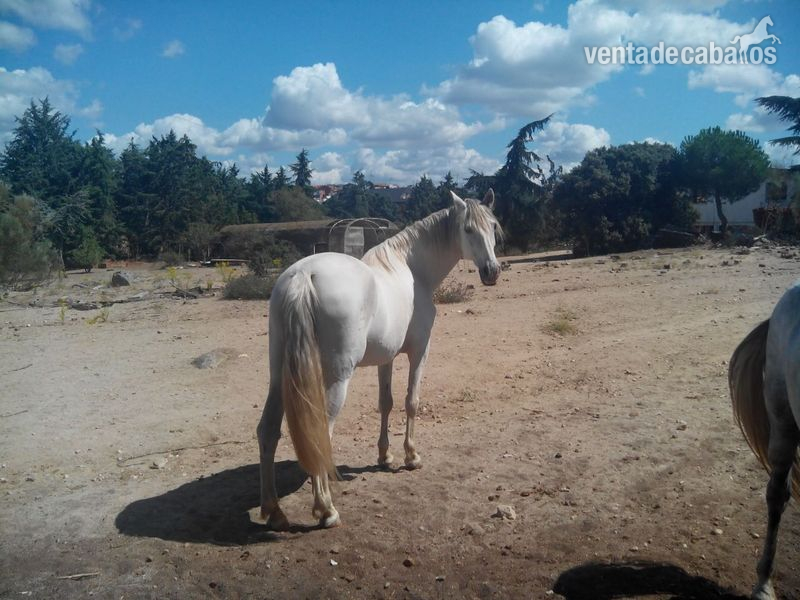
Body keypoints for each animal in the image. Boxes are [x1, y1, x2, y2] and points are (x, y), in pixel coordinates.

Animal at [257, 189, 501, 530]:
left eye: (492, 226)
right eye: (468, 229)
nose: (492, 272)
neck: (412, 270)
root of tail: (303, 276)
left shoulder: (386, 358)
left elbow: (385, 403)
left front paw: (385, 457)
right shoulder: (419, 351)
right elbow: (411, 401)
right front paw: (411, 457)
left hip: (278, 376)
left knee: (267, 431)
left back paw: (274, 511)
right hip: (336, 379)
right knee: (321, 433)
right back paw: (326, 510)